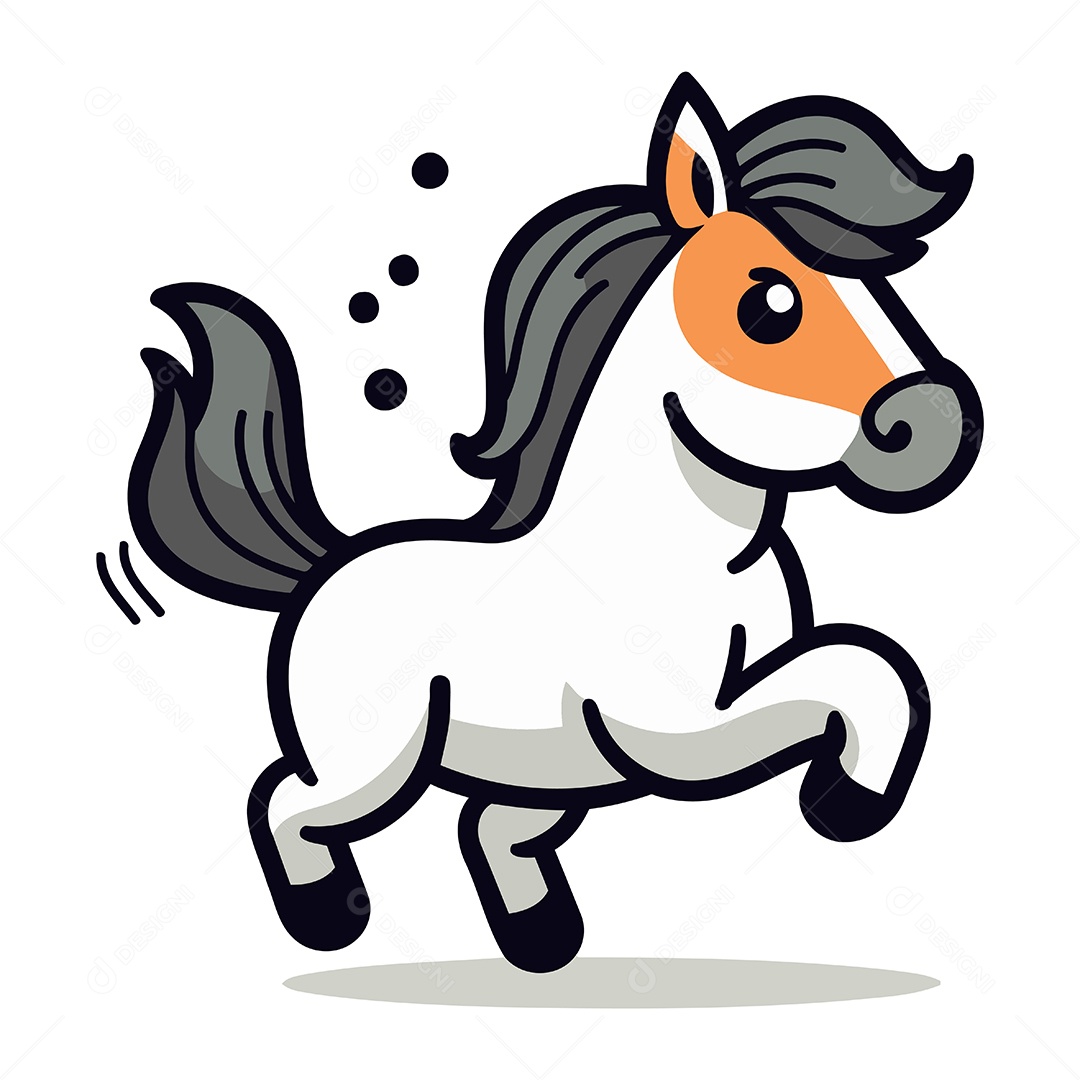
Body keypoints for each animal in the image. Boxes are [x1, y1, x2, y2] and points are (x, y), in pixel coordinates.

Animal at [127, 73, 981, 973]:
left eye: (881, 290)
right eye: (770, 301)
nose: (936, 423)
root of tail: (326, 570)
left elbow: (862, 668)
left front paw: (847, 794)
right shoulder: (676, 732)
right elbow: (846, 675)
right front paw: (847, 801)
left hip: (544, 765)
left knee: (488, 827)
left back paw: (541, 937)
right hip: (376, 758)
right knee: (291, 804)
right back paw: (329, 917)